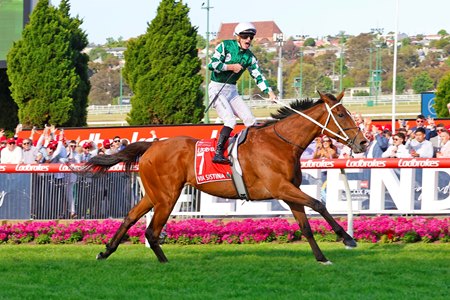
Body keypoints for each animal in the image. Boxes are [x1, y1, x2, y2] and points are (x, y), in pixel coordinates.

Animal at [84, 91, 366, 262]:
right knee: (152, 231)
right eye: (341, 114)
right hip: (166, 196)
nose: (363, 142)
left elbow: (305, 226)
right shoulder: (280, 187)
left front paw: (322, 257)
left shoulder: (290, 191)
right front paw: (347, 238)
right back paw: (165, 262)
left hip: (155, 194)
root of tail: (151, 146)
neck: (280, 143)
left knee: (130, 216)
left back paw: (105, 252)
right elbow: (320, 204)